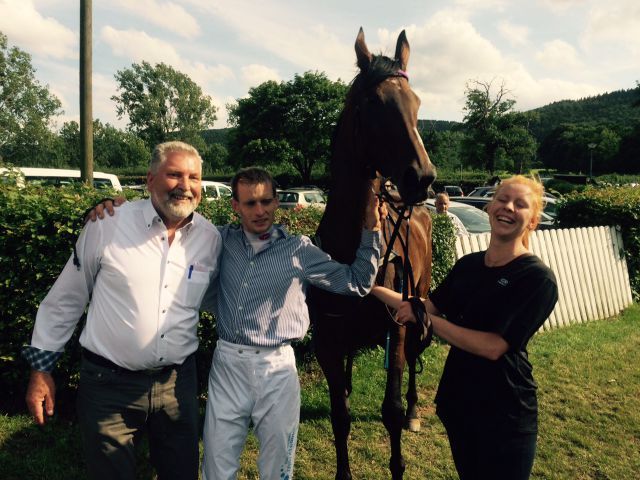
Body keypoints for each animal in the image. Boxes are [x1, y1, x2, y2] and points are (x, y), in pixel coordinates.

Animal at [308, 28, 438, 478]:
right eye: (375, 104)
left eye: (417, 102)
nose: (422, 178)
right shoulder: (328, 338)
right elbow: (340, 415)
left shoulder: (395, 328)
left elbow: (391, 411)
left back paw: (416, 410)